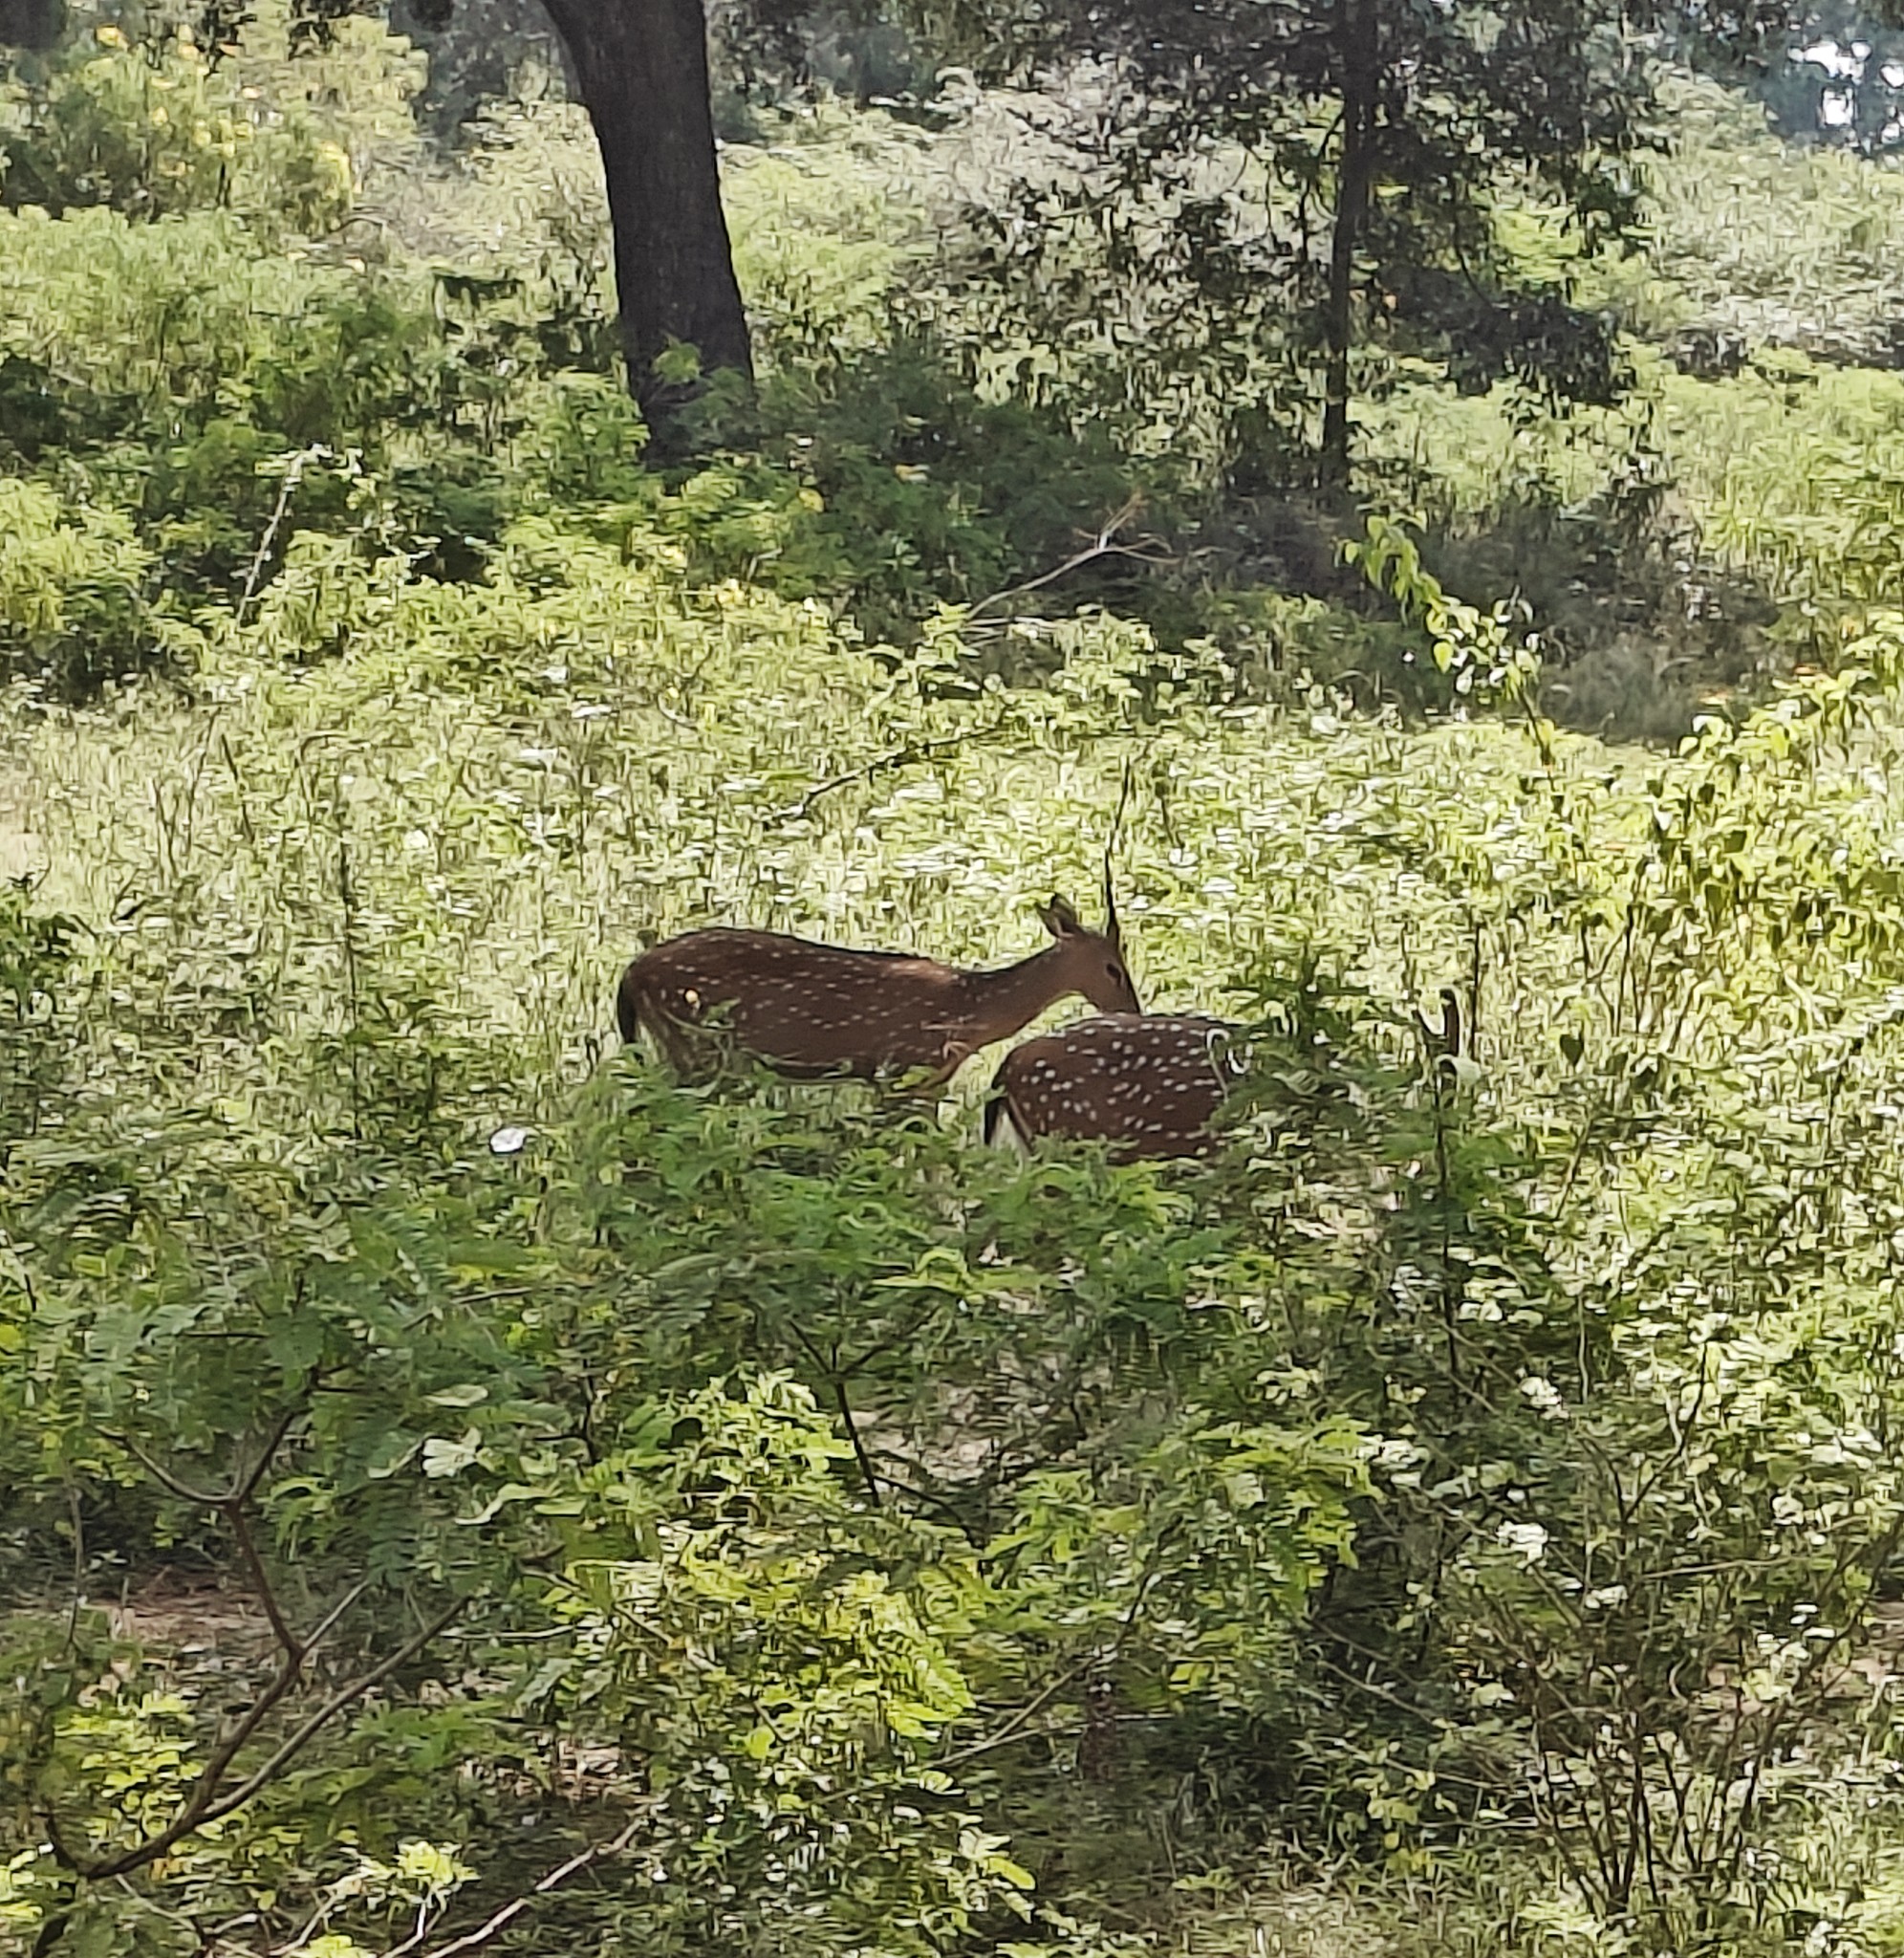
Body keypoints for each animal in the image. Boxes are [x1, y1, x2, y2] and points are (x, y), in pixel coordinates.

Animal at [617, 896, 1135, 1096]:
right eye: (1112, 967)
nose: (1132, 1010)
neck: (968, 1012)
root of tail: (632, 973)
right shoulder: (899, 1070)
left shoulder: (929, 1082)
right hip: (699, 1044)